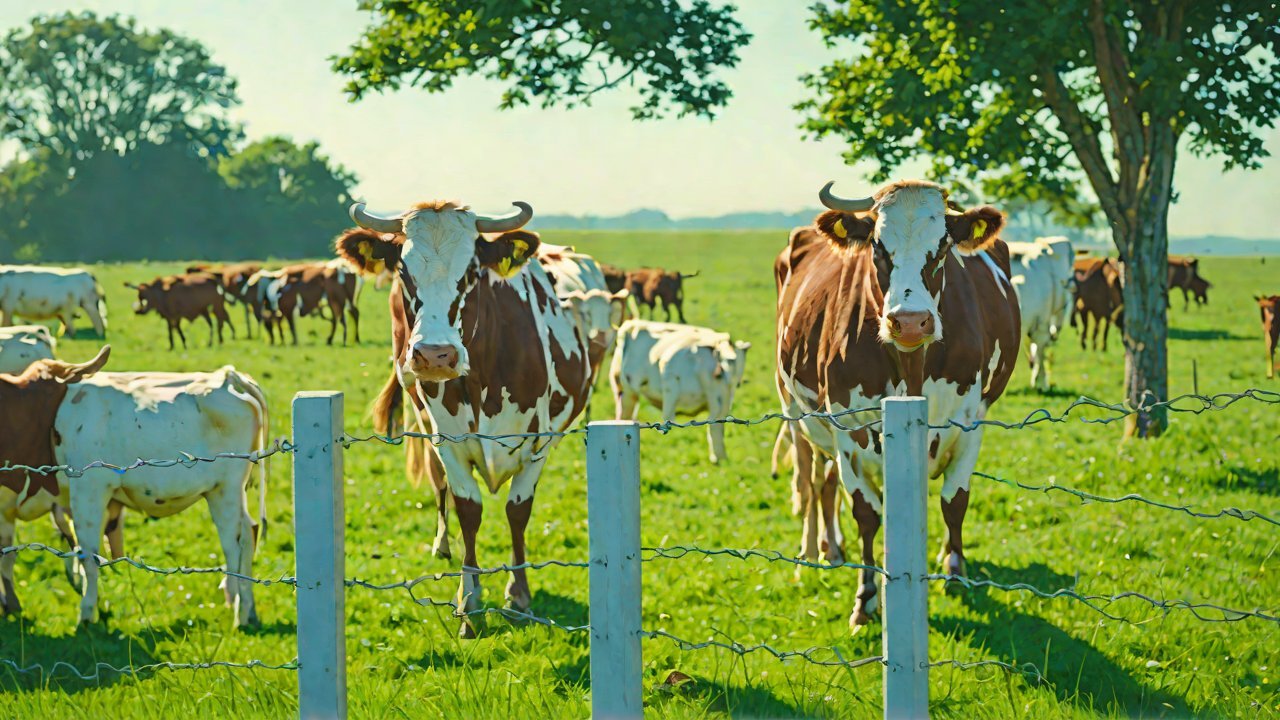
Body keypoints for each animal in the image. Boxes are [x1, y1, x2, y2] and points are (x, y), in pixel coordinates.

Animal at [0, 347, 270, 627]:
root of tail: (230, 376)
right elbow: (9, 558)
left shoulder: (89, 490)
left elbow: (88, 554)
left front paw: (86, 613)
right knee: (250, 531)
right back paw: (248, 609)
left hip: (224, 490)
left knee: (235, 545)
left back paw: (241, 613)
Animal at [337, 199, 592, 638]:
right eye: (403, 272)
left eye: (472, 273)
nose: (435, 355)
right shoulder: (448, 441)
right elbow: (467, 508)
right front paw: (469, 600)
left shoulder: (540, 442)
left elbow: (518, 511)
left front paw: (518, 595)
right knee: (439, 485)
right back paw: (442, 544)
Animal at [776, 180, 1020, 632]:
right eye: (877, 247)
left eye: (942, 248)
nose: (908, 322)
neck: (911, 369)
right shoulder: (848, 427)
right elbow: (866, 513)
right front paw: (866, 598)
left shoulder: (969, 422)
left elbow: (954, 501)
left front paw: (955, 571)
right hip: (798, 415)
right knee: (813, 481)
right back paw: (815, 551)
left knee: (827, 482)